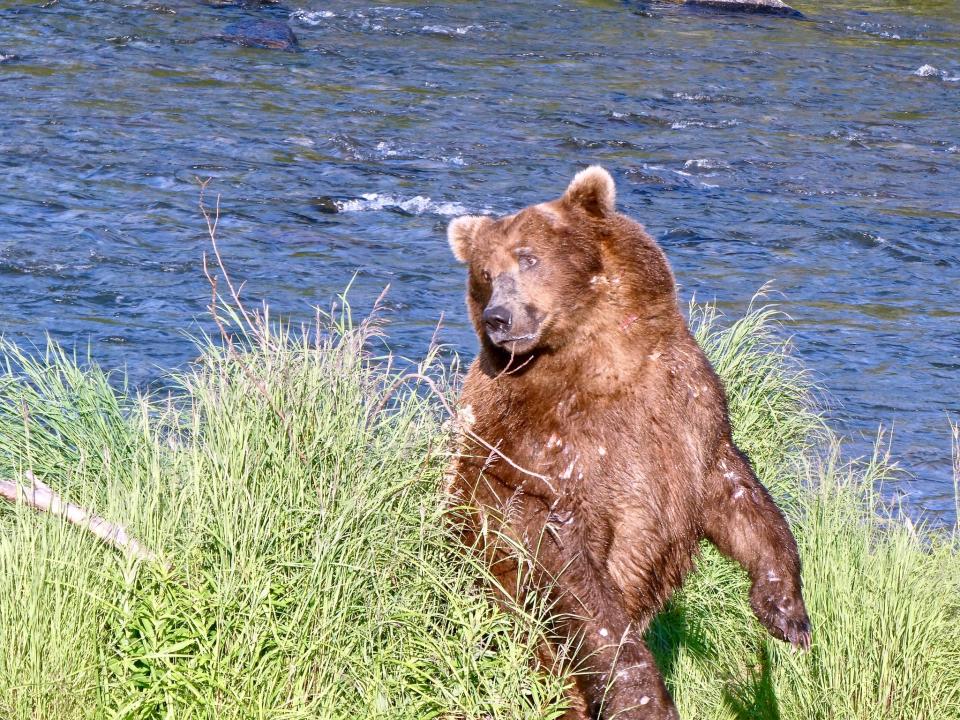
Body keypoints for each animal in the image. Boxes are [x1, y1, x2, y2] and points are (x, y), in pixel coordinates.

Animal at [442, 166, 808, 716]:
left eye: (528, 258)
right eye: (485, 273)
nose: (498, 318)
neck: (599, 354)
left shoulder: (683, 405)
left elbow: (735, 491)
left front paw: (785, 610)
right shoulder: (539, 447)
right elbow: (563, 566)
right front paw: (642, 697)